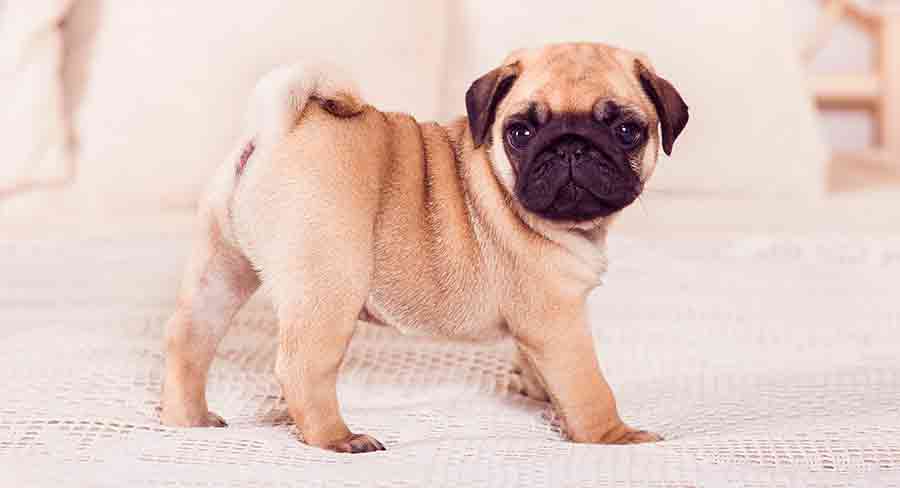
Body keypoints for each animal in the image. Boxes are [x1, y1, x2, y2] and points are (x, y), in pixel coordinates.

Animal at [160, 42, 688, 454]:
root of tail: (279, 129)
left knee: (190, 339)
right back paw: (337, 438)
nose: (572, 146)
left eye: (626, 131)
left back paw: (188, 419)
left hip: (221, 267)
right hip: (330, 285)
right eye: (521, 132)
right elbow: (588, 385)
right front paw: (614, 436)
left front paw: (537, 393)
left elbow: (537, 367)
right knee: (301, 367)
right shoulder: (558, 321)